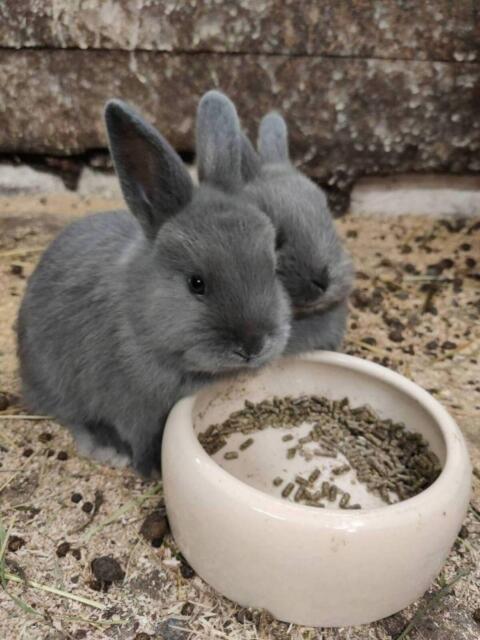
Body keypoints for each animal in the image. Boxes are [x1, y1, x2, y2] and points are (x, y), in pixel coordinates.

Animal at [17, 98, 291, 478]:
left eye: (274, 268)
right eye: (196, 283)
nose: (253, 345)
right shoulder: (133, 407)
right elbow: (141, 437)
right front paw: (153, 470)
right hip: (55, 381)